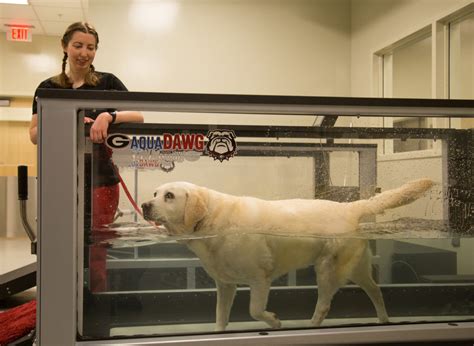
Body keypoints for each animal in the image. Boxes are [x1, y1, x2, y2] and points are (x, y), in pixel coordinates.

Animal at [141, 178, 434, 330]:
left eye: (169, 196)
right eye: (154, 192)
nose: (144, 205)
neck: (210, 220)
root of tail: (350, 207)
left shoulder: (260, 279)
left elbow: (255, 310)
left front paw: (275, 321)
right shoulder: (225, 285)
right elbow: (220, 318)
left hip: (328, 269)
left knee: (325, 303)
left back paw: (312, 324)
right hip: (357, 268)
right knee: (376, 291)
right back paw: (384, 320)